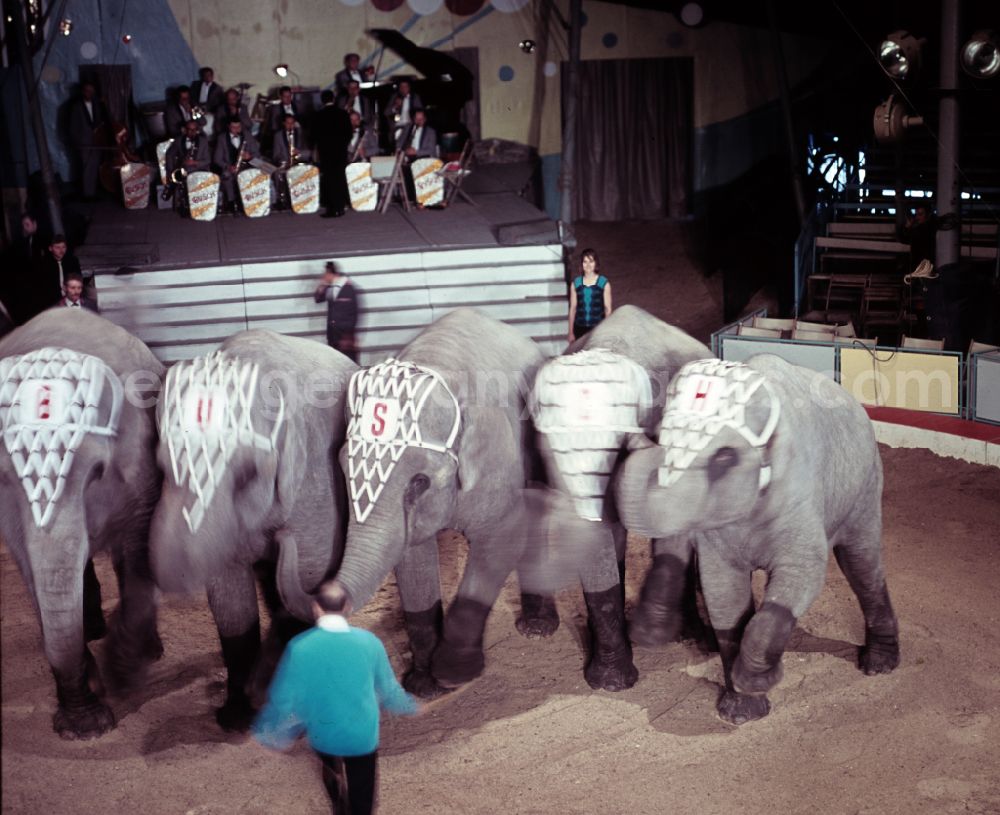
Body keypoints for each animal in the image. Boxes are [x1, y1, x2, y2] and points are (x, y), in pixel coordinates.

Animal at [0, 310, 164, 740]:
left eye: (98, 472)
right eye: (3, 478)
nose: (98, 681)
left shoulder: (141, 467)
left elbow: (137, 549)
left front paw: (124, 671)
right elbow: (31, 568)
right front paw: (86, 722)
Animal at [146, 332, 354, 732]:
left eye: (249, 474)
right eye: (162, 466)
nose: (174, 584)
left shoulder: (317, 488)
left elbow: (307, 583)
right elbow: (231, 603)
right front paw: (235, 717)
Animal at [330, 306, 556, 696]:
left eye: (419, 482)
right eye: (344, 467)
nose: (327, 595)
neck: (439, 364)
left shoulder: (500, 459)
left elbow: (503, 538)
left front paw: (453, 673)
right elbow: (412, 560)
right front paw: (424, 686)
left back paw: (539, 629)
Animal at [612, 354, 904, 724]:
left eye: (724, 458)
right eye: (660, 436)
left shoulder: (800, 495)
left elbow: (804, 573)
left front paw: (757, 682)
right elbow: (724, 594)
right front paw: (741, 710)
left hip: (865, 485)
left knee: (862, 564)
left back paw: (879, 666)